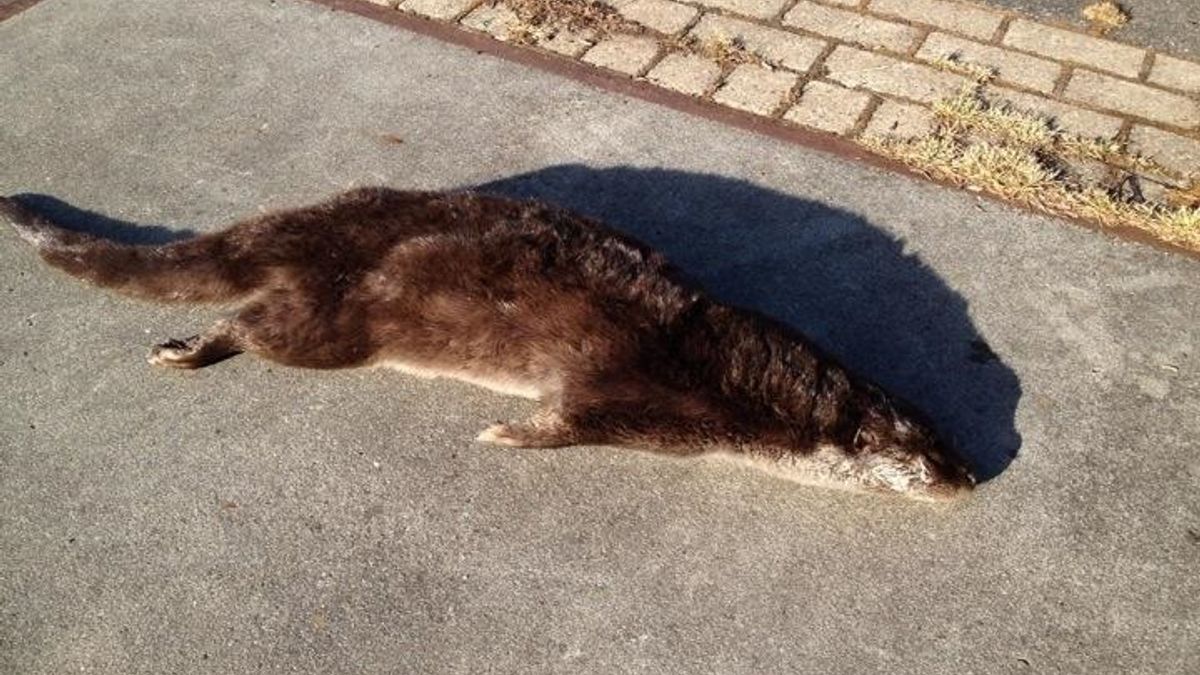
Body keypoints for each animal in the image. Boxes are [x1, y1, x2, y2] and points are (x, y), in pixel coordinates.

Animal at [2, 188, 975, 501]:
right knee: (247, 324)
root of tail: (311, 228)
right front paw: (505, 434)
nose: (971, 479)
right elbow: (565, 424)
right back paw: (185, 349)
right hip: (332, 327)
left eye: (953, 445)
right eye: (926, 460)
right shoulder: (638, 407)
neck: (741, 380)